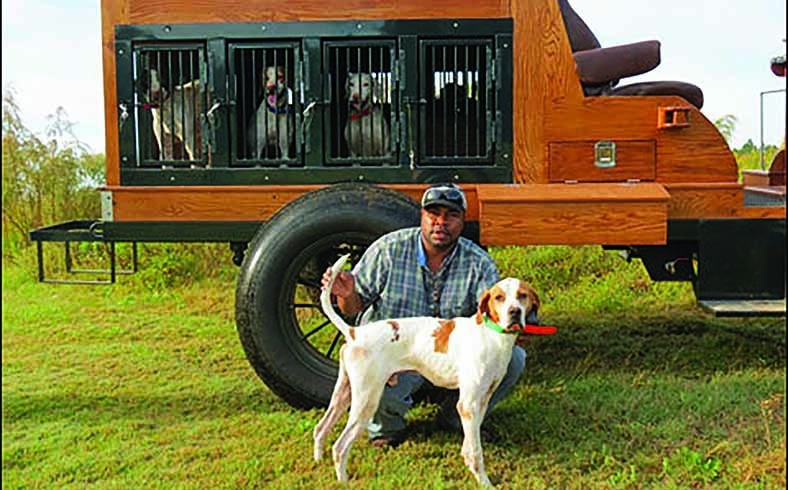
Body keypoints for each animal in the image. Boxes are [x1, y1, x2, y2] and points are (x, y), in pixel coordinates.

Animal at [314, 255, 540, 484]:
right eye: (499, 297)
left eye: (522, 295)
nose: (515, 312)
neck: (491, 334)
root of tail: (354, 332)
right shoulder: (468, 404)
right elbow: (476, 452)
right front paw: (484, 482)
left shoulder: (482, 400)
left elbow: (470, 444)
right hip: (366, 400)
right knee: (340, 446)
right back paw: (344, 481)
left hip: (343, 394)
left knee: (320, 429)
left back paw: (318, 462)